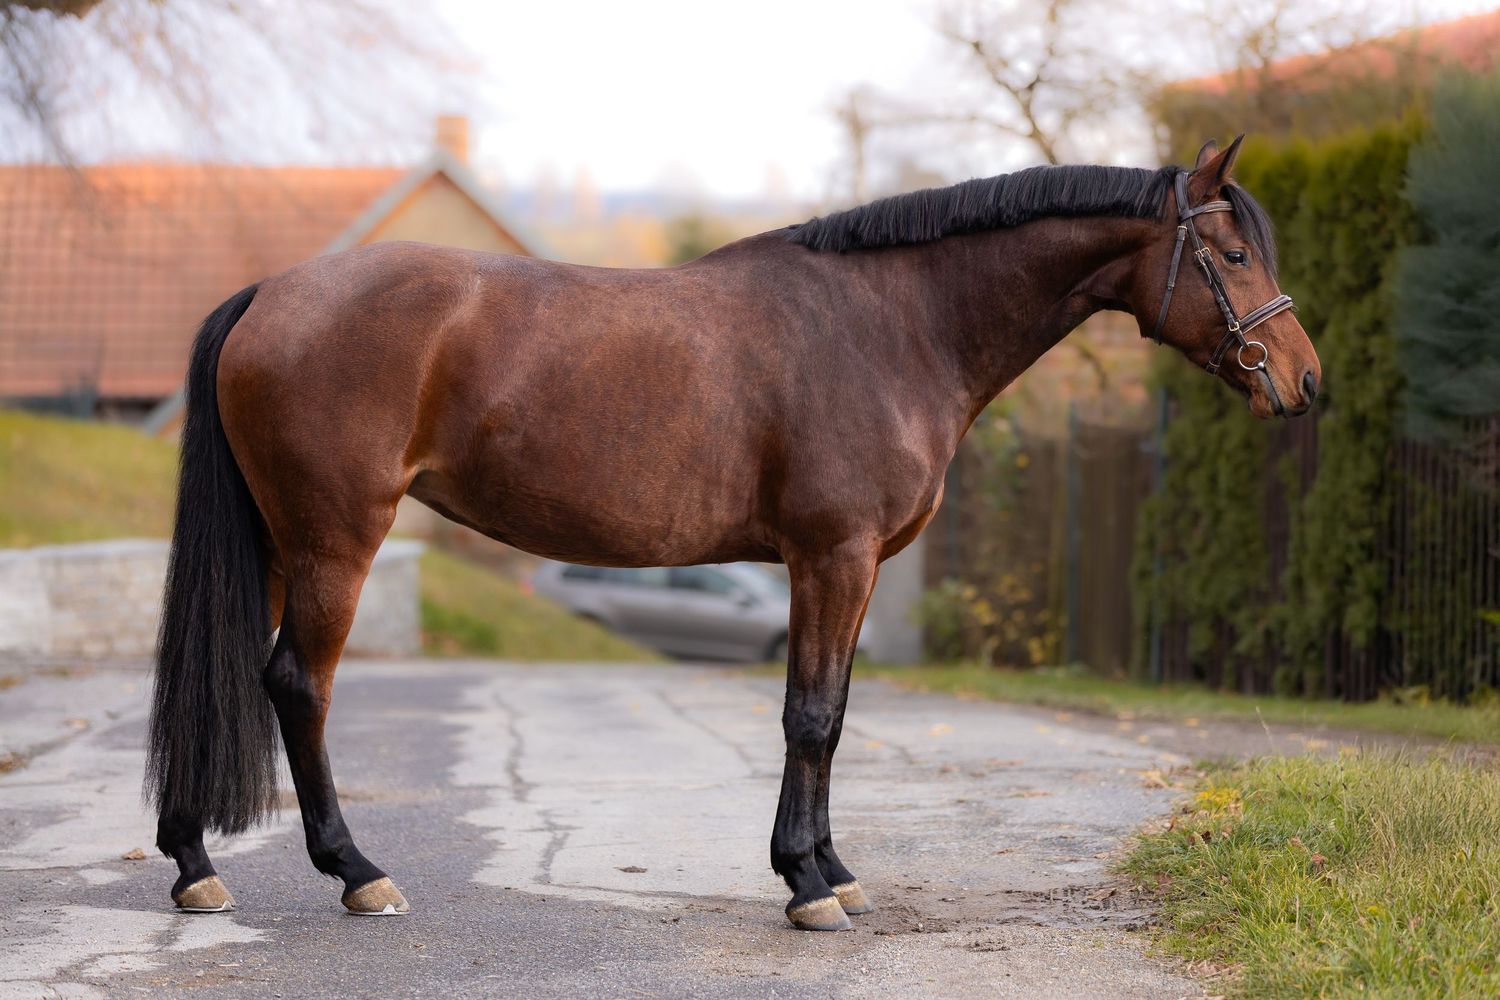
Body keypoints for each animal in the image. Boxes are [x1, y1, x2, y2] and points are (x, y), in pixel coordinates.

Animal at [146, 136, 1319, 930]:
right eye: (1227, 250)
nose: (1306, 381)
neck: (894, 325)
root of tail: (271, 293)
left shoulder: (852, 568)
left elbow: (833, 716)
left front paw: (834, 870)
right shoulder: (829, 556)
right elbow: (809, 717)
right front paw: (804, 885)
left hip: (278, 541)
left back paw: (194, 862)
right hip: (335, 541)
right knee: (298, 684)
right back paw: (356, 872)